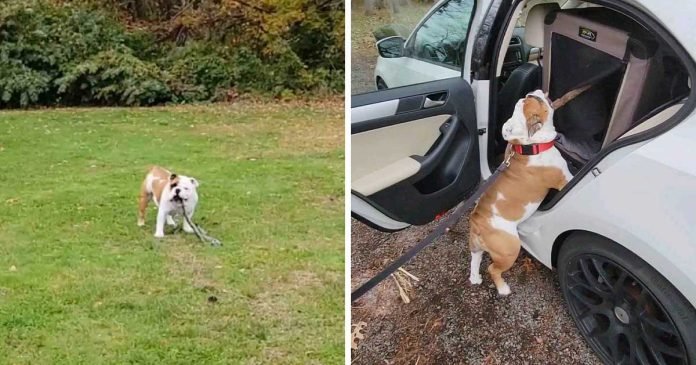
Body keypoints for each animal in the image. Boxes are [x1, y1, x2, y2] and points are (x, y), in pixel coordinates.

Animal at [468, 89, 572, 294]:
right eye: (537, 100)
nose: (532, 92)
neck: (528, 146)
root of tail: (477, 223)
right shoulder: (564, 179)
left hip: (476, 247)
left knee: (475, 259)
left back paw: (475, 278)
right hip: (510, 248)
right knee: (493, 269)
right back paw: (503, 289)